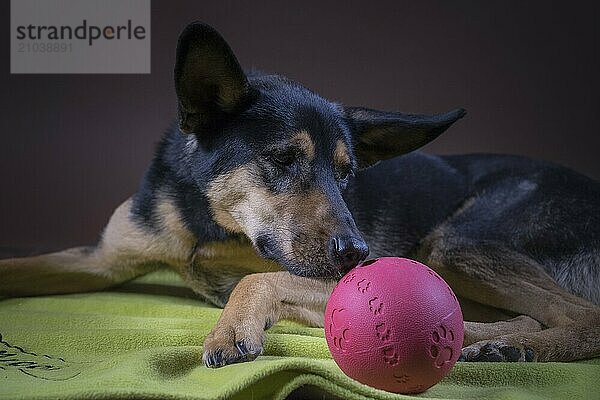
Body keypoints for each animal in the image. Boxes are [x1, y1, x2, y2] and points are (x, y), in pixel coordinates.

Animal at [1, 23, 600, 368]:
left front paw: (233, 328)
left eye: (346, 174)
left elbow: (257, 277)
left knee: (580, 317)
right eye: (284, 160)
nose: (357, 253)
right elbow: (16, 267)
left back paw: (520, 346)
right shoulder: (101, 260)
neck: (207, 223)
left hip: (457, 245)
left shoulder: (347, 273)